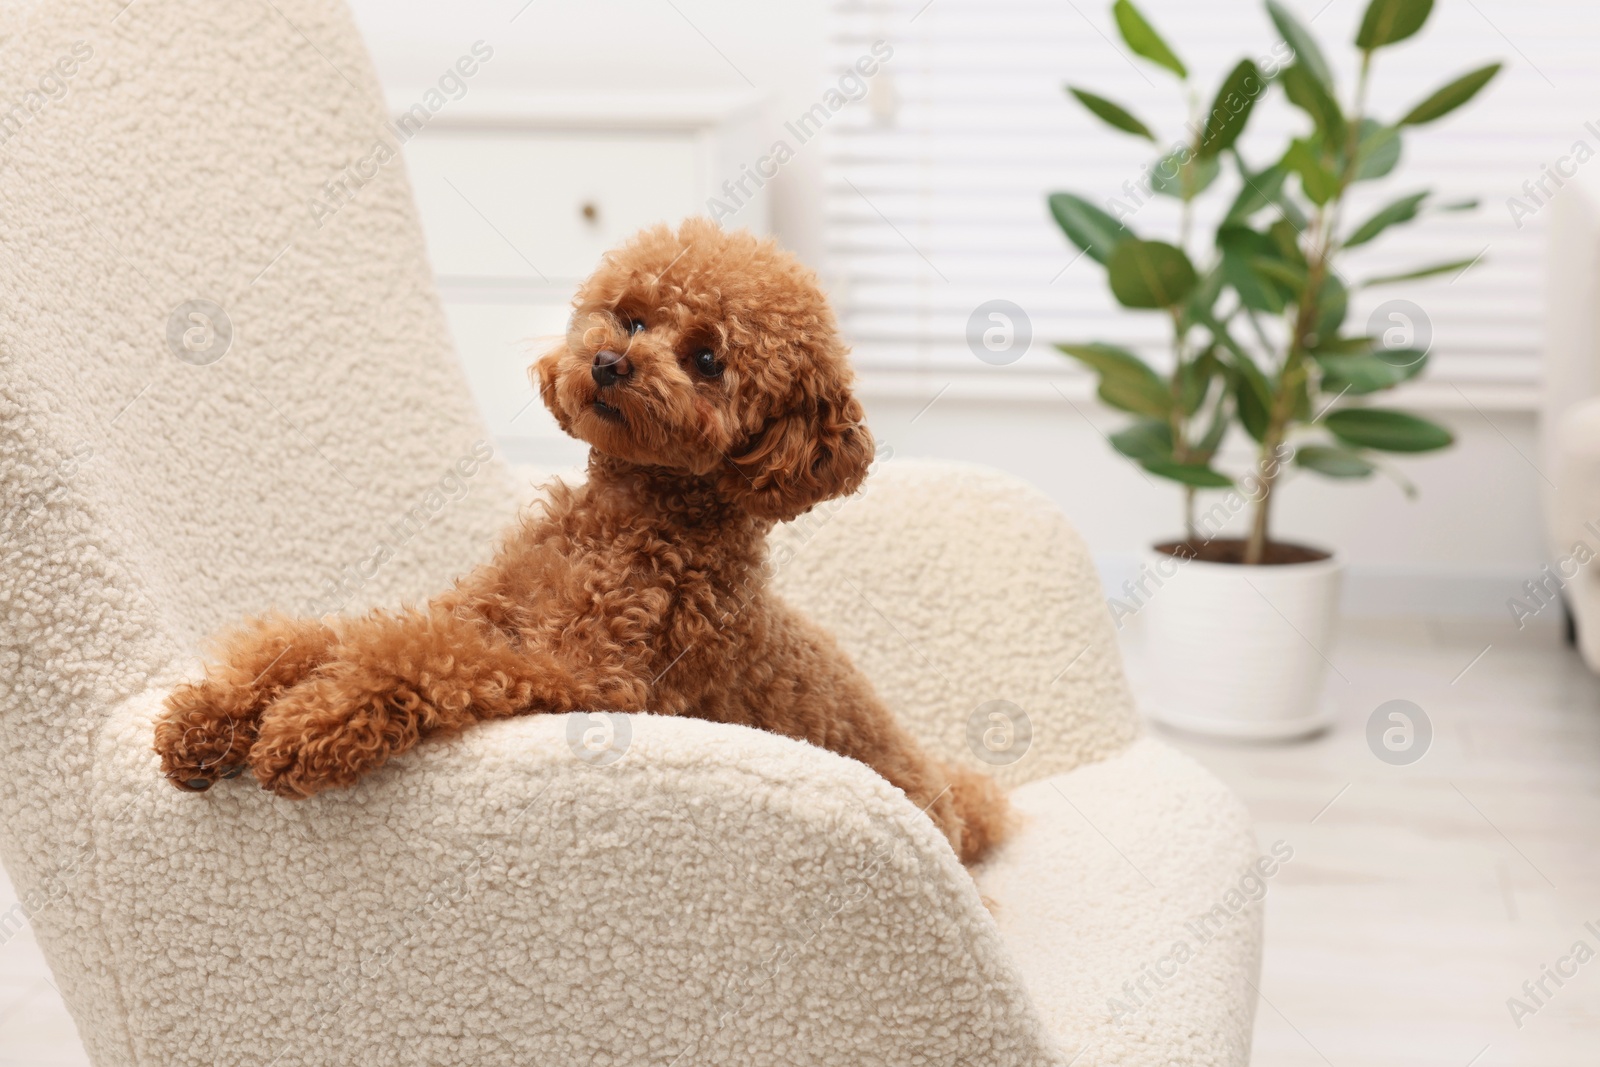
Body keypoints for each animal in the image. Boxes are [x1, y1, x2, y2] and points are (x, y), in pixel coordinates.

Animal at [159, 217, 1011, 870]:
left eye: (708, 359)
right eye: (631, 318)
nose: (608, 362)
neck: (624, 518)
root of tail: (952, 800)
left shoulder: (581, 675)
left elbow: (415, 656)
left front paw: (309, 725)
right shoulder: (481, 608)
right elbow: (328, 637)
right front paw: (213, 714)